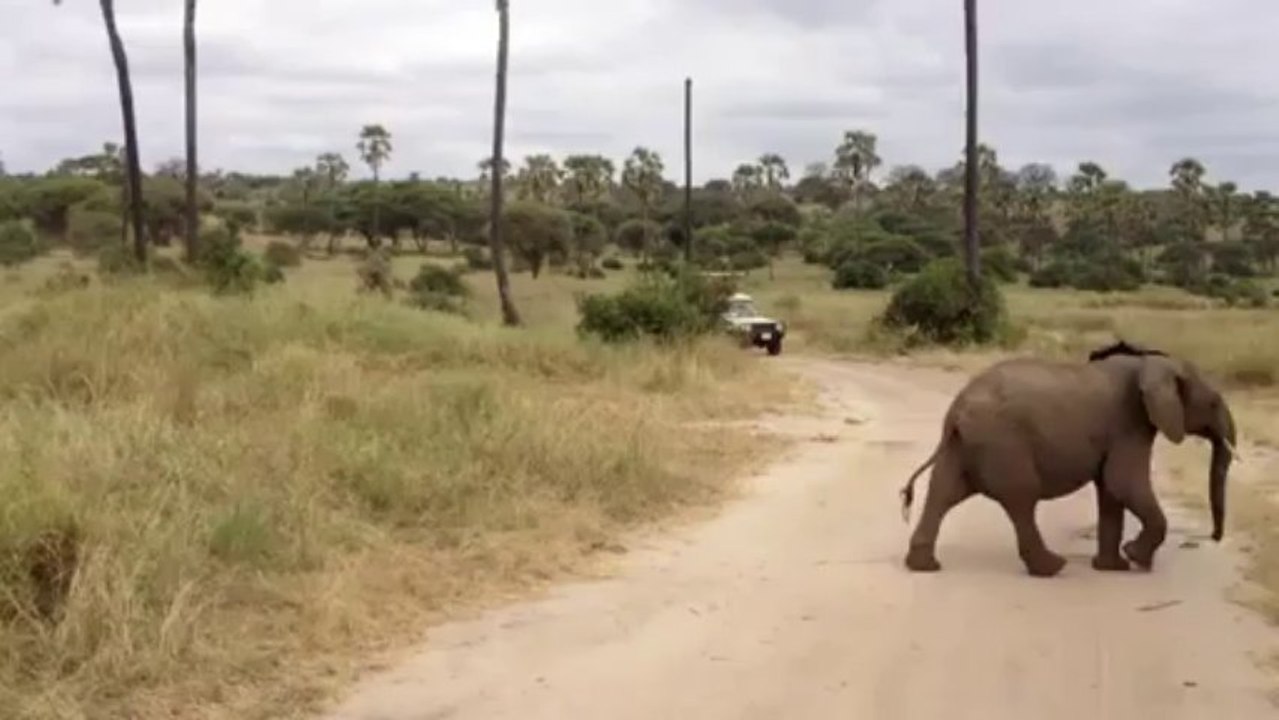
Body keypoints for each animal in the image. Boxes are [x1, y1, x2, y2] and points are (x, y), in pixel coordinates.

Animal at [898, 340, 1240, 577]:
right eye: (1213, 403)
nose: (1212, 537)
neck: (1150, 361)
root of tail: (957, 410)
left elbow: (1111, 490)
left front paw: (1114, 567)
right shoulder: (1130, 424)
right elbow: (1124, 482)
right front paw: (1135, 557)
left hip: (964, 445)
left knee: (943, 492)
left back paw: (924, 566)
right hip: (1003, 442)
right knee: (1021, 498)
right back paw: (1052, 568)